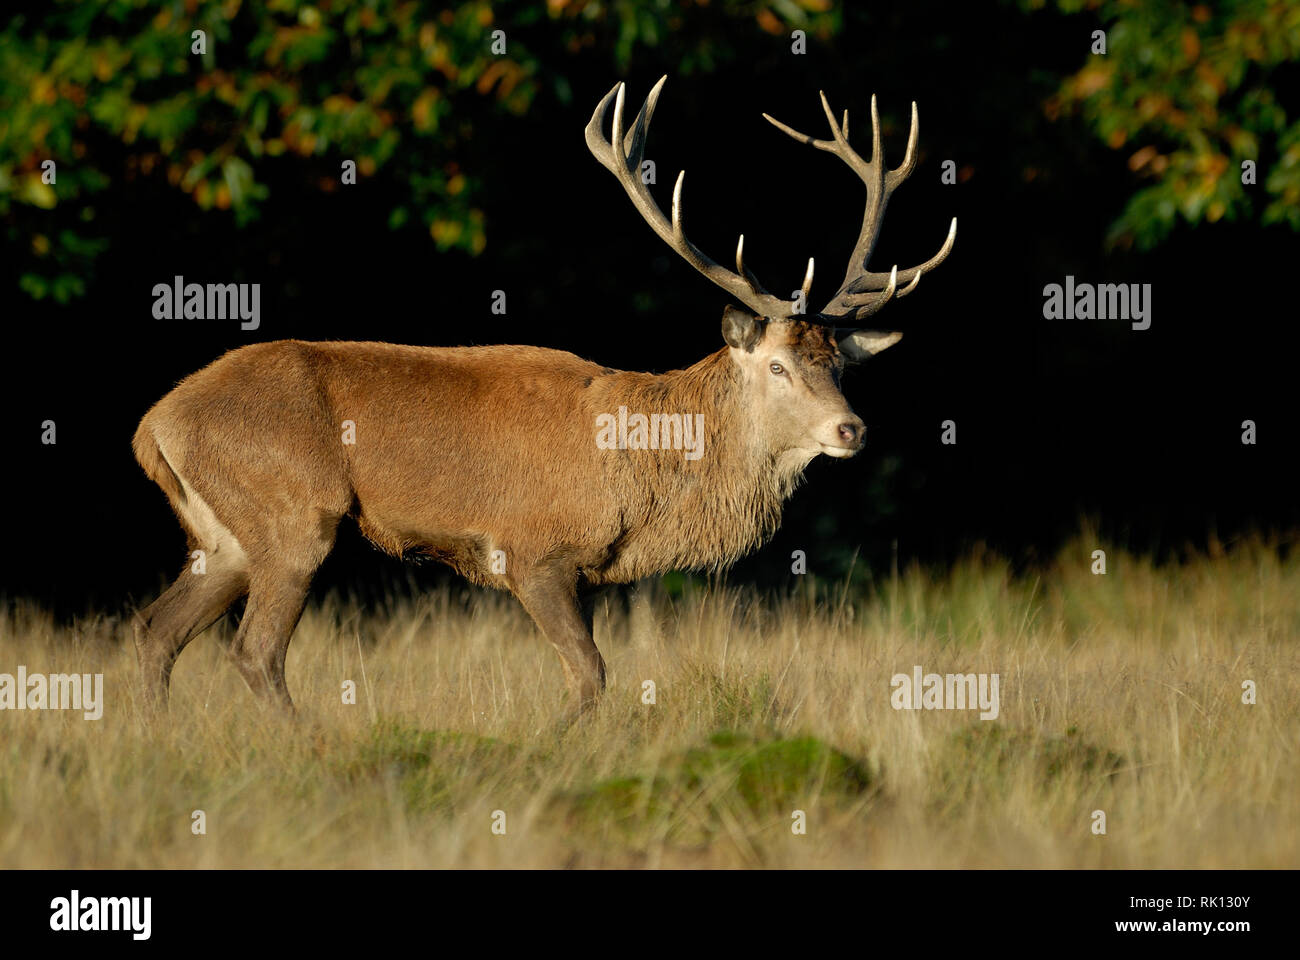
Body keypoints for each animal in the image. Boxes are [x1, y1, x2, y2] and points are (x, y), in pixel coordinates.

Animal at [131, 77, 955, 717]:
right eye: (779, 367)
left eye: (840, 364)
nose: (851, 430)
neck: (637, 470)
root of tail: (154, 424)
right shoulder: (533, 549)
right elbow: (590, 674)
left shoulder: (585, 571)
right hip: (294, 512)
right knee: (254, 651)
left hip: (223, 535)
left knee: (155, 630)